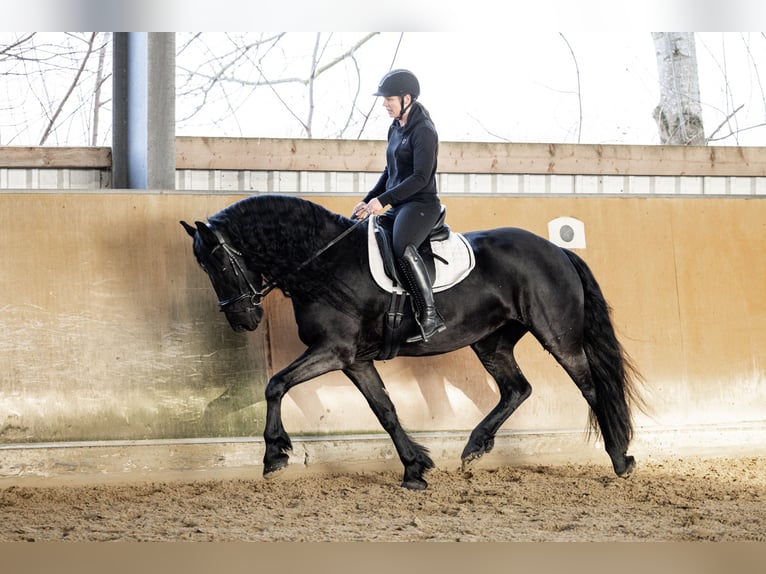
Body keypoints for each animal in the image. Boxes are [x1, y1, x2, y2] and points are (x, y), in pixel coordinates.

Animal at [183, 195, 644, 490]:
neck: (325, 264)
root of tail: (558, 250)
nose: (243, 320)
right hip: (491, 341)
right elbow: (385, 410)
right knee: (517, 388)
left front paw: (274, 455)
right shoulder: (353, 358)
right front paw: (414, 469)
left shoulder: (334, 350)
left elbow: (275, 384)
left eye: (219, 262)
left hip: (557, 336)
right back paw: (474, 447)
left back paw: (620, 458)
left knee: (591, 387)